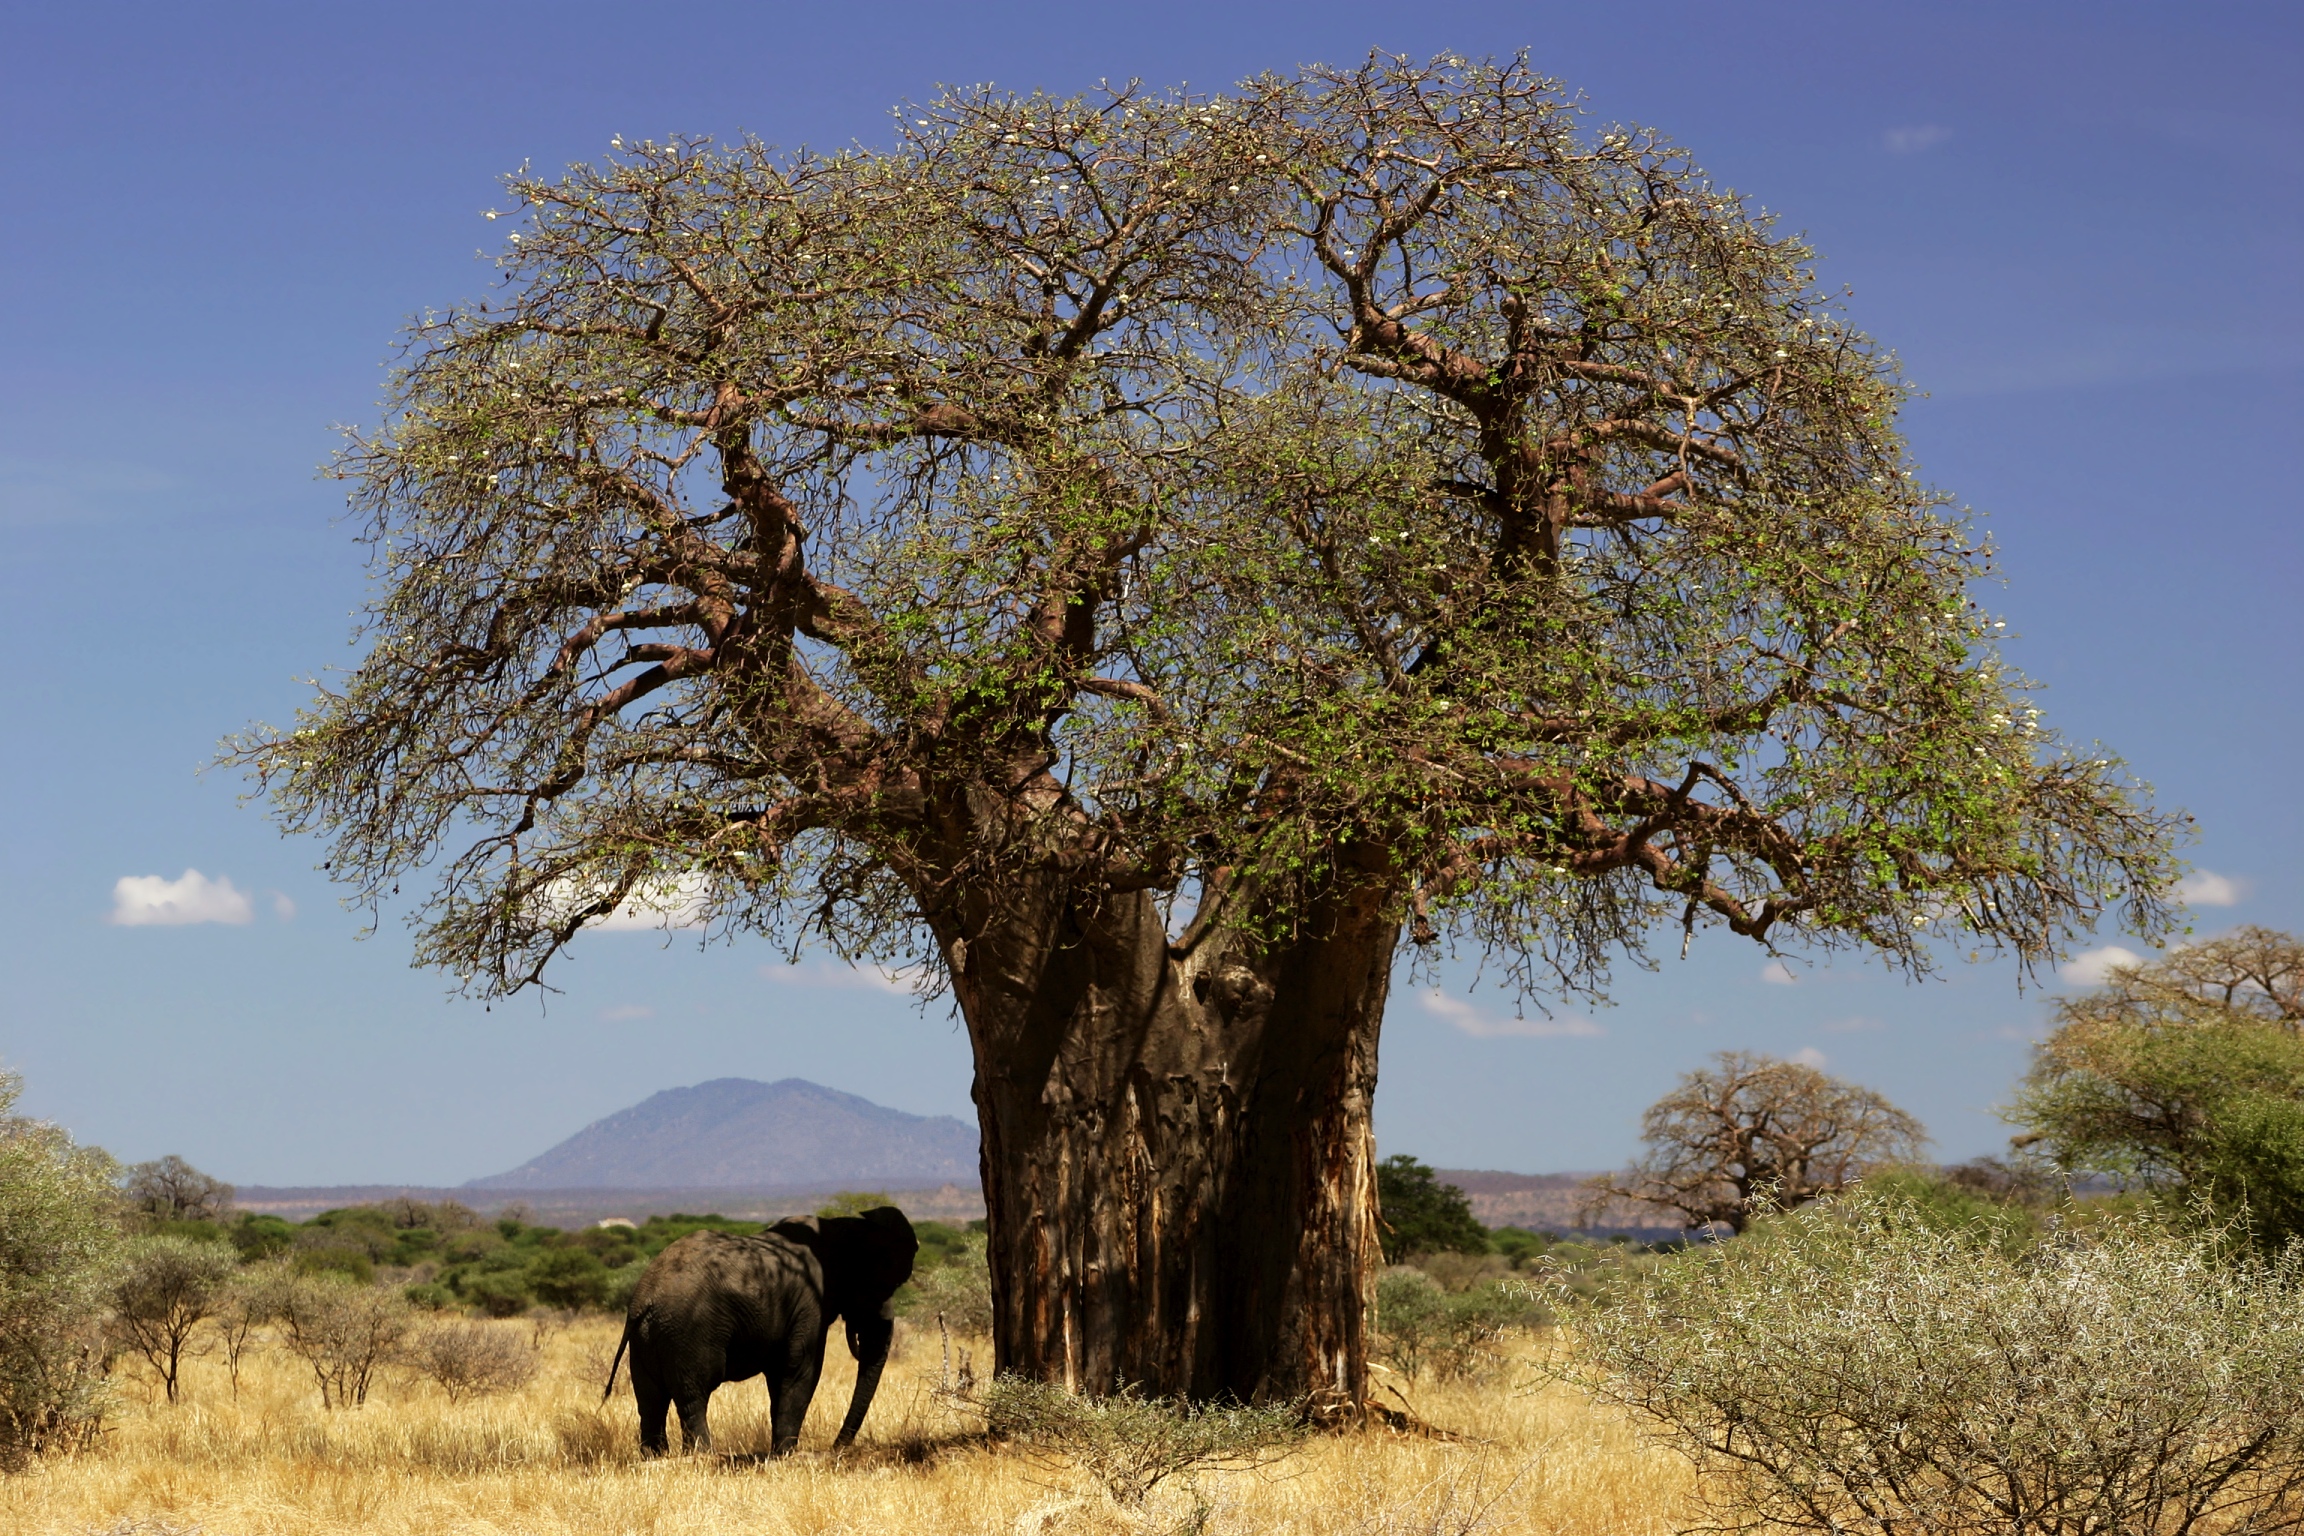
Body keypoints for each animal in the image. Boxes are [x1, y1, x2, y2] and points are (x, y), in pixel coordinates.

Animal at [603, 1215, 916, 1455]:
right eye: (877, 1286)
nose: (834, 1449)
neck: (836, 1230)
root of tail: (644, 1299)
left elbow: (780, 1375)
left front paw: (780, 1452)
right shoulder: (808, 1303)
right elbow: (801, 1370)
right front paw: (786, 1454)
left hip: (646, 1338)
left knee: (650, 1399)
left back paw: (656, 1457)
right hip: (688, 1332)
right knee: (693, 1395)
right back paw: (704, 1456)